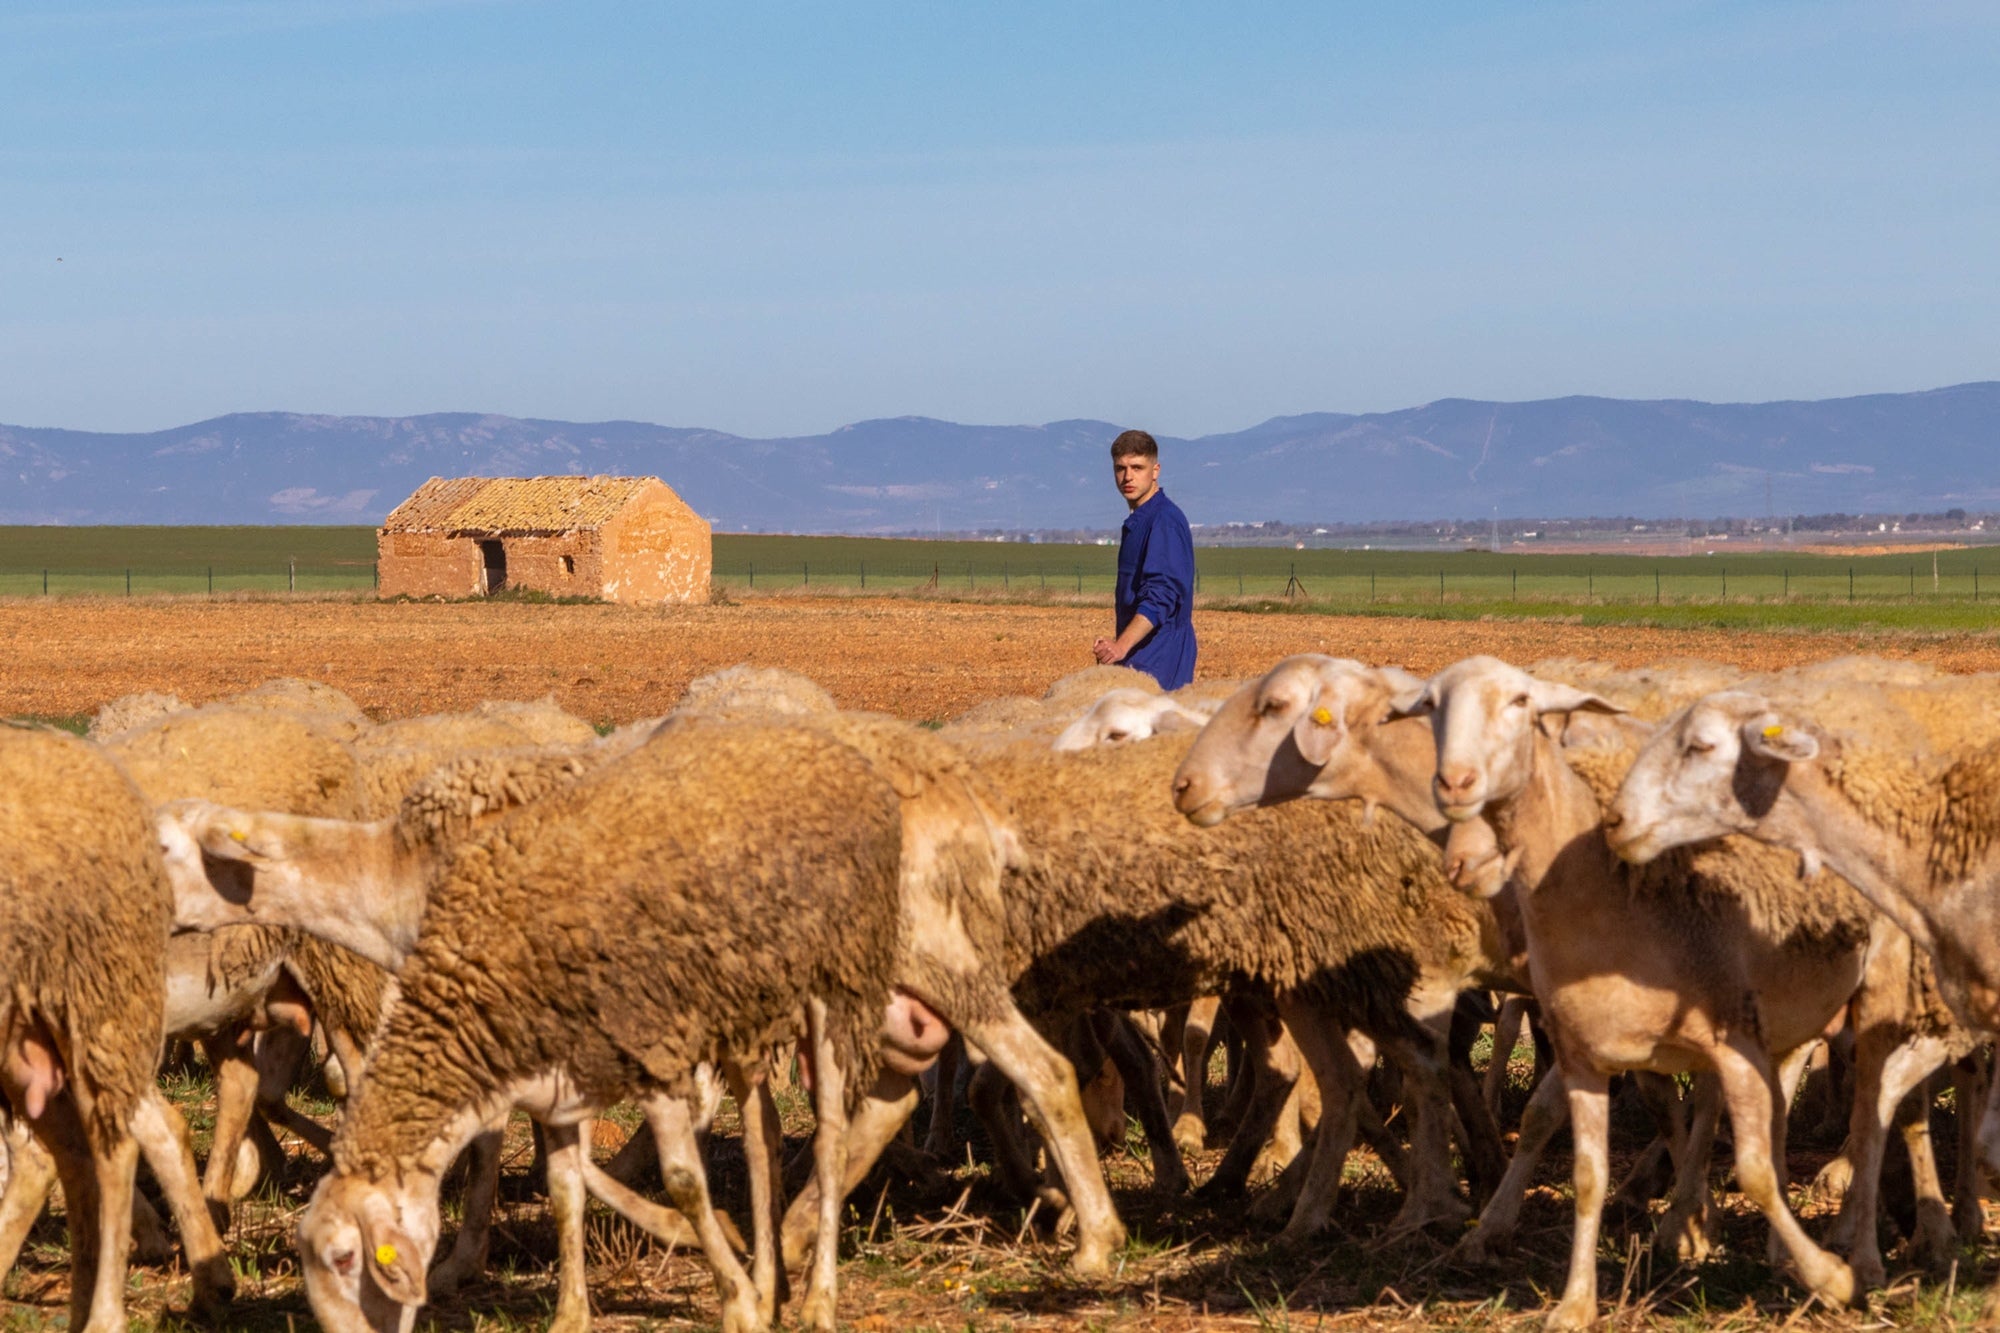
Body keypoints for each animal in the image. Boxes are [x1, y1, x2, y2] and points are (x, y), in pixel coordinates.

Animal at [296, 716, 908, 1328]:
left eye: (346, 1257)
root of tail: (827, 746)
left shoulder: (651, 1051)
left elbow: (684, 1182)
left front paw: (737, 1303)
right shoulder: (554, 1081)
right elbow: (565, 1187)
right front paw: (572, 1313)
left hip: (837, 981)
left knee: (831, 1141)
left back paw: (817, 1300)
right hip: (747, 1003)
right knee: (763, 1130)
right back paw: (773, 1282)